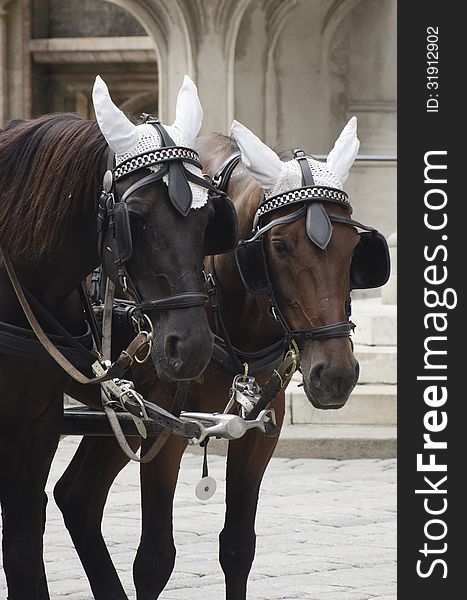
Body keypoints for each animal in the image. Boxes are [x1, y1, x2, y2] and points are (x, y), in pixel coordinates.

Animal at [53, 118, 390, 600]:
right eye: (280, 246)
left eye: (352, 248)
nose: (336, 375)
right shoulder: (164, 427)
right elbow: (154, 560)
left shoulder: (260, 429)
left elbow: (238, 546)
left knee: (78, 496)